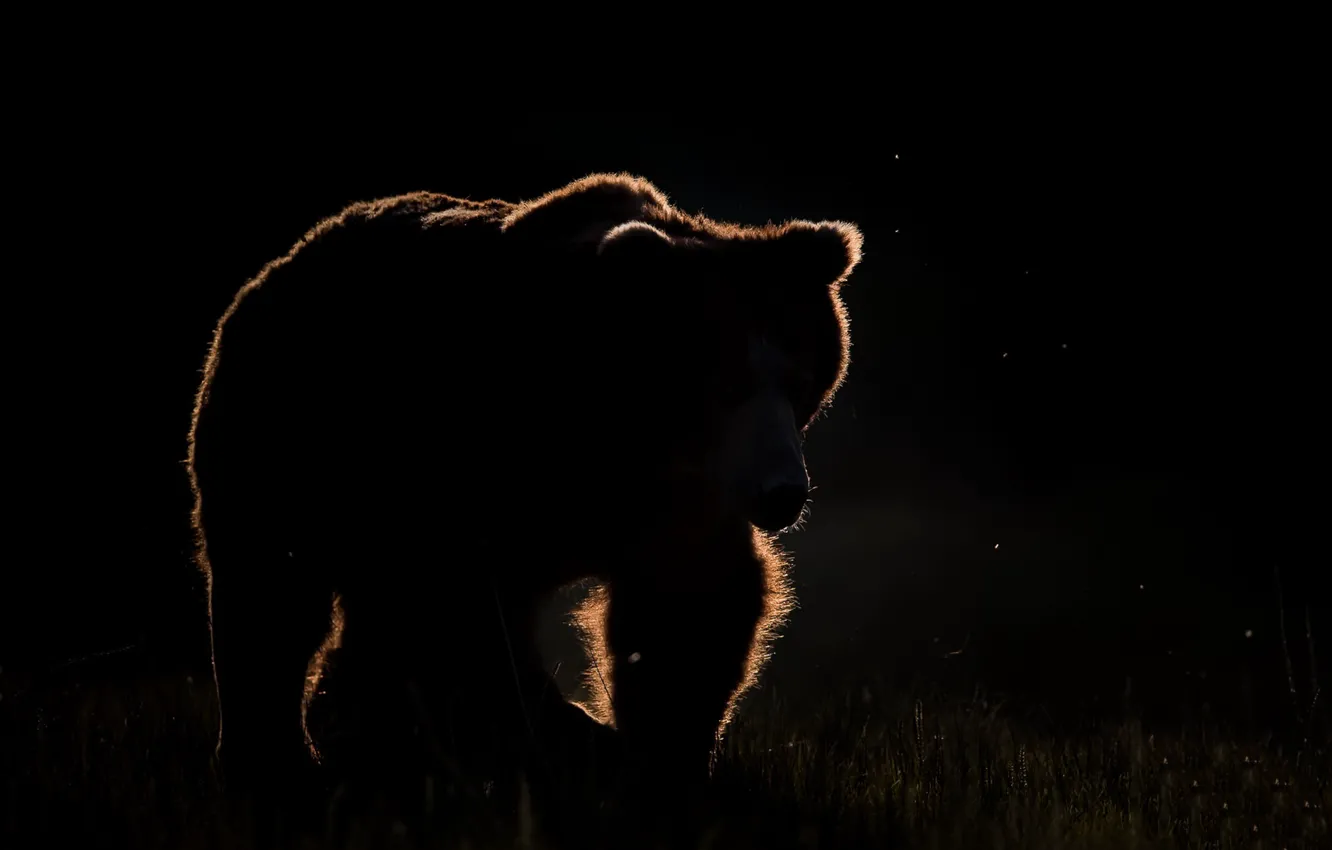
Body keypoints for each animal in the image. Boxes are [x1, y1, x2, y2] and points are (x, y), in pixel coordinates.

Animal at [185, 173, 863, 831]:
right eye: (724, 382)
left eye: (800, 379)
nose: (782, 494)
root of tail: (280, 267)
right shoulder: (481, 455)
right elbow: (458, 620)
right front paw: (580, 744)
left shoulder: (668, 503)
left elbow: (687, 610)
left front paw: (665, 768)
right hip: (289, 439)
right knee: (270, 594)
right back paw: (281, 767)